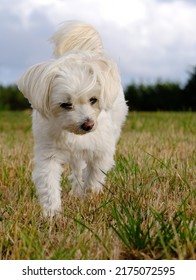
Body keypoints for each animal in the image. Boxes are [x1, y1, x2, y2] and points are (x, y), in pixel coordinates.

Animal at [17, 21, 129, 217]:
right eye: (65, 104)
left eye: (94, 100)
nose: (88, 124)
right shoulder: (48, 154)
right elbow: (49, 184)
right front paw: (52, 214)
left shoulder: (101, 152)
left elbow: (94, 177)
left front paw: (89, 199)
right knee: (77, 170)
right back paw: (76, 191)